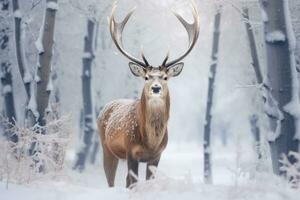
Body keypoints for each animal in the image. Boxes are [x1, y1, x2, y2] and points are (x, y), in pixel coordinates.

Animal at [96, 1, 199, 188]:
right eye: (146, 77)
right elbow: (133, 184)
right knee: (111, 179)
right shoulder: (131, 151)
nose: (156, 88)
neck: (150, 143)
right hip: (106, 147)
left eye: (165, 77)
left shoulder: (157, 156)